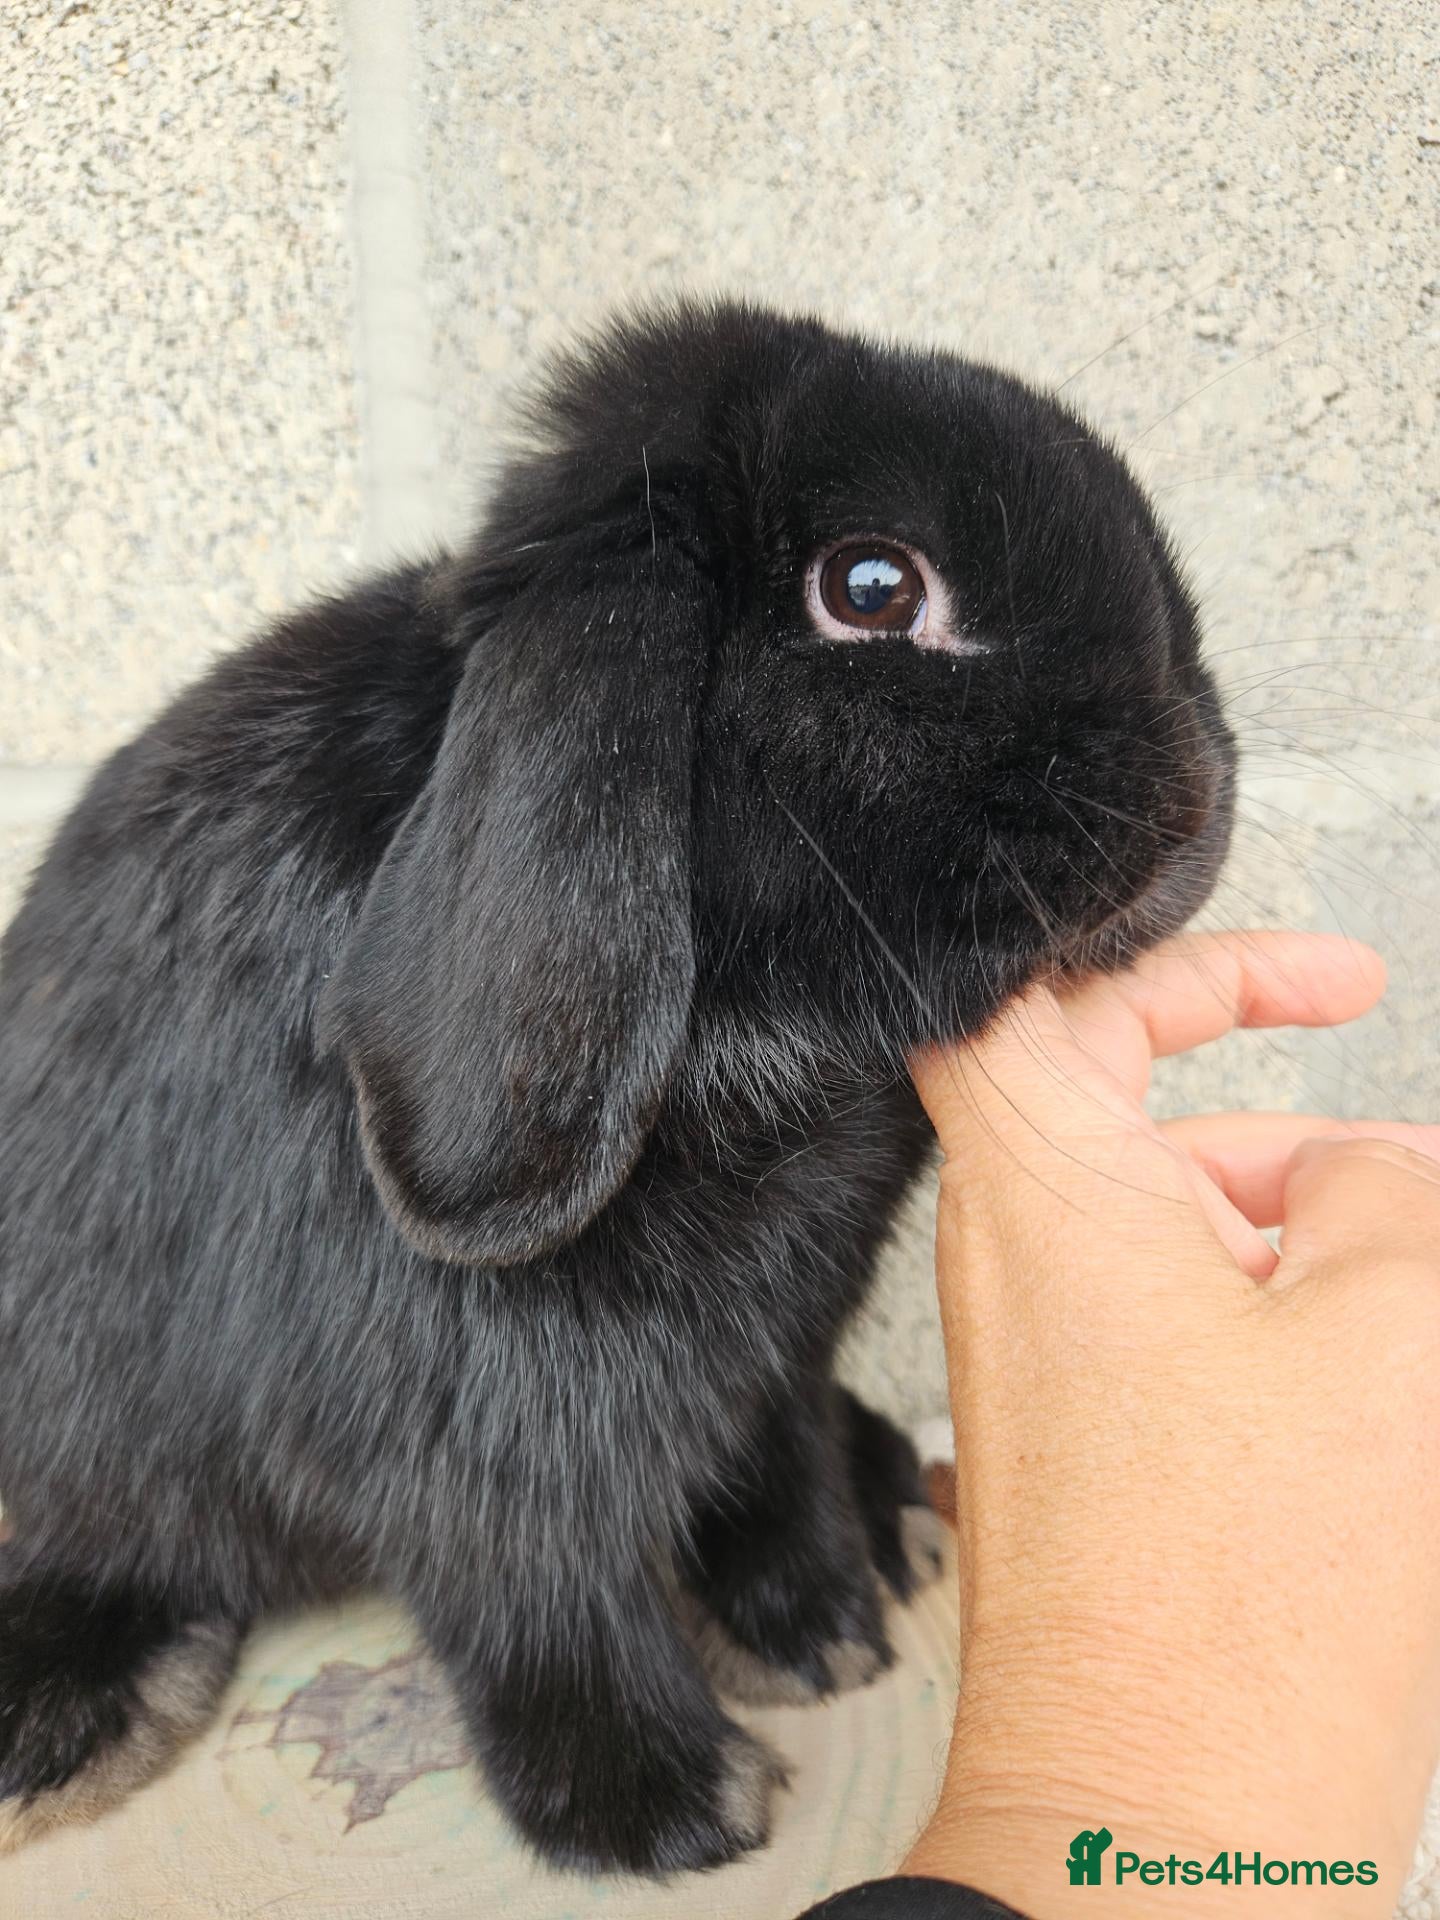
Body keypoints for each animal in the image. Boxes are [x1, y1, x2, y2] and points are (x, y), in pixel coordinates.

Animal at [0, 298, 1235, 1875]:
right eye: (873, 587)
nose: (1195, 797)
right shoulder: (473, 1436)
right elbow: (542, 1597)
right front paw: (675, 1808)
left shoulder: (775, 1356)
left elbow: (778, 1463)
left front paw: (823, 1636)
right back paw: (66, 1721)